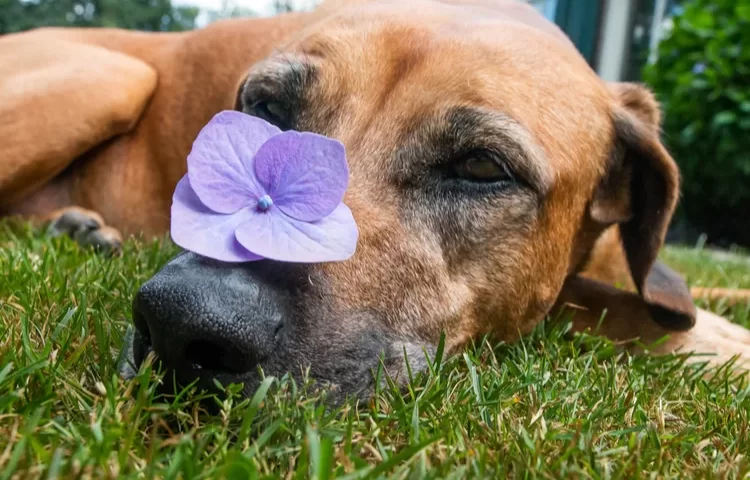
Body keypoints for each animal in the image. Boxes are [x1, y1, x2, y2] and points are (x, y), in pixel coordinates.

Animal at [1, 0, 750, 400]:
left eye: (481, 167)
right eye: (265, 109)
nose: (182, 326)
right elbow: (627, 313)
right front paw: (715, 342)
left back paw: (78, 227)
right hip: (111, 72)